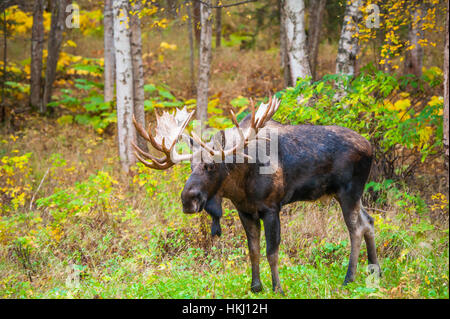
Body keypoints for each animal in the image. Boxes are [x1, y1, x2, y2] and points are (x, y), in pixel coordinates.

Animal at [133, 97, 380, 296]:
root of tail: (370, 147)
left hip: (348, 191)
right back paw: (374, 271)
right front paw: (255, 286)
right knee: (369, 222)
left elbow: (272, 251)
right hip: (347, 194)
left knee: (356, 229)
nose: (187, 200)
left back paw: (349, 278)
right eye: (191, 166)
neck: (241, 183)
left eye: (210, 166)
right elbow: (253, 250)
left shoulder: (271, 208)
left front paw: (278, 288)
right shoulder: (245, 211)